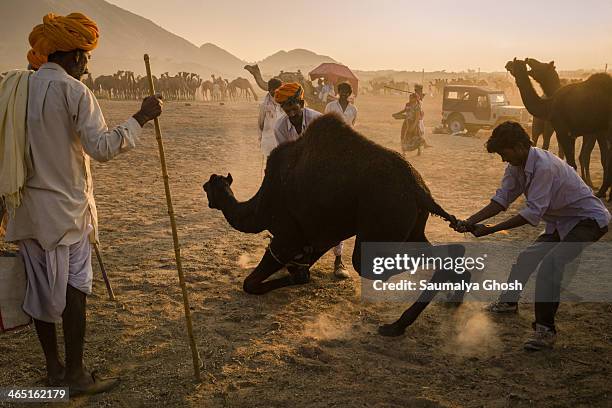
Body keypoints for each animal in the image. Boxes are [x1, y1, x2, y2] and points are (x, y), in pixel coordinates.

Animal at [206, 114, 468, 334]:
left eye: (208, 187)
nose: (208, 194)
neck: (259, 206)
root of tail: (419, 190)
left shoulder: (286, 237)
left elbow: (250, 282)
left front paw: (297, 277)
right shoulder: (319, 235)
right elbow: (303, 262)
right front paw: (299, 274)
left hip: (384, 219)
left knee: (369, 265)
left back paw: (396, 326)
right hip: (410, 227)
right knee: (445, 253)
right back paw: (442, 305)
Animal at [510, 57, 612, 201]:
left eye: (542, 64)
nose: (528, 58)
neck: (549, 104)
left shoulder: (563, 130)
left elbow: (571, 162)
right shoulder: (572, 133)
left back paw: (601, 192)